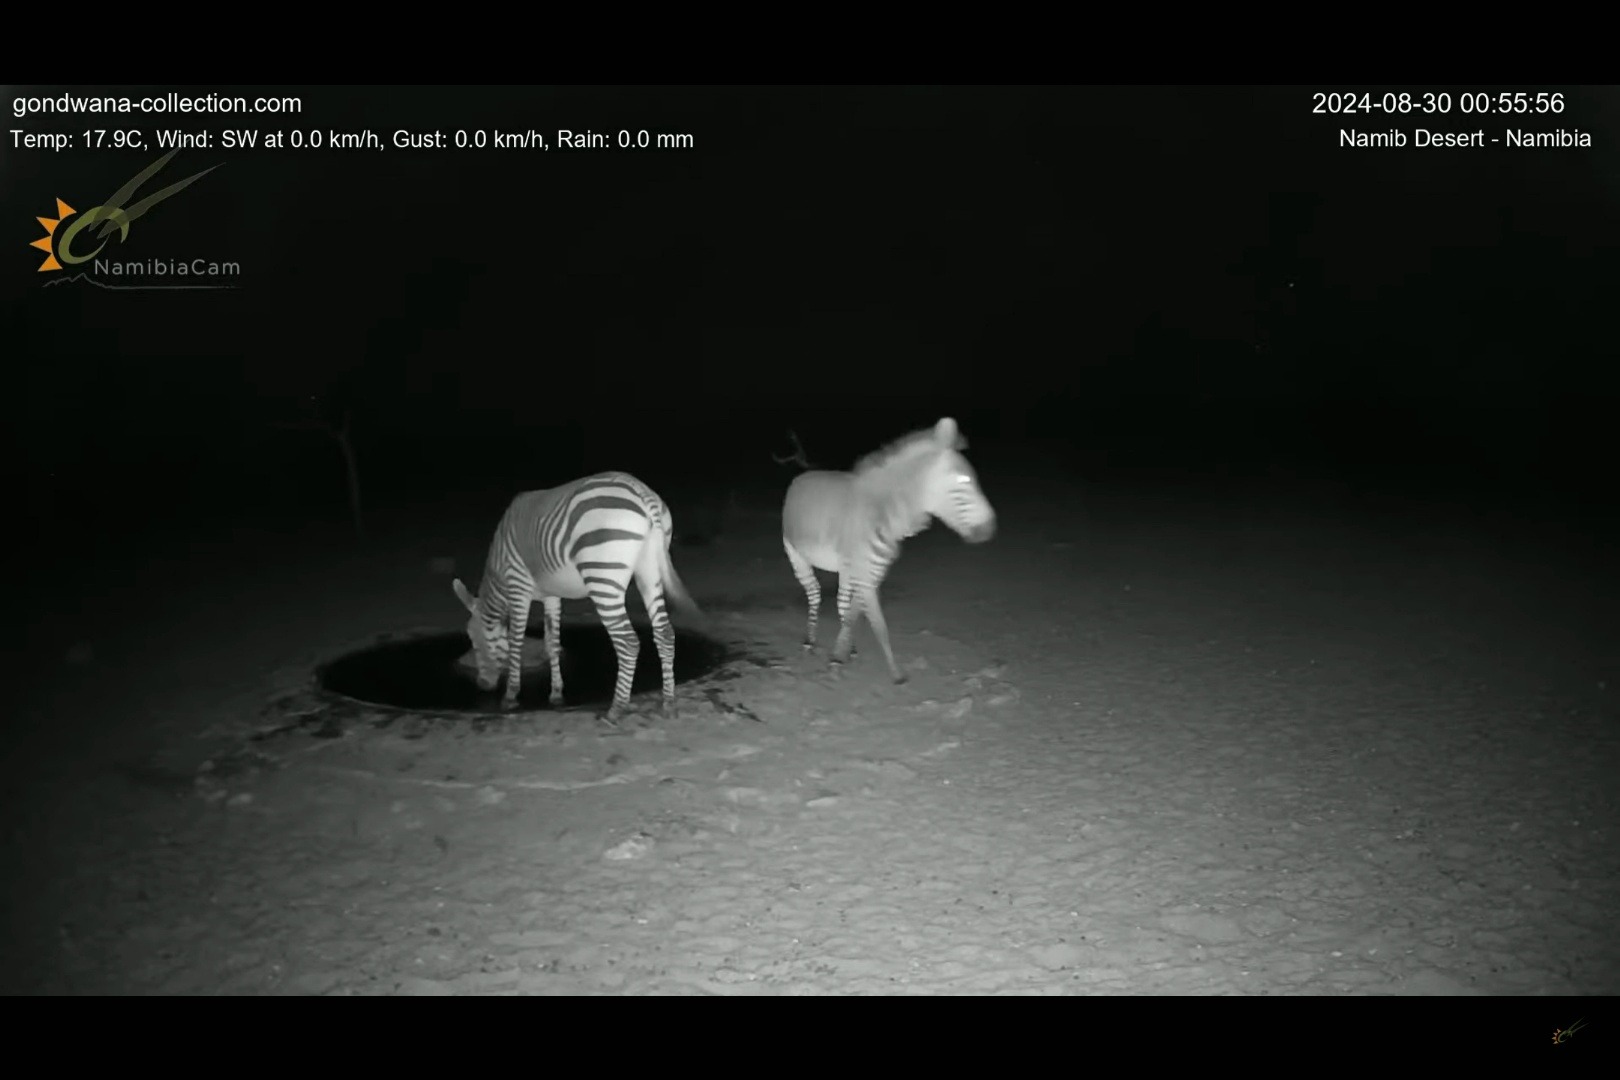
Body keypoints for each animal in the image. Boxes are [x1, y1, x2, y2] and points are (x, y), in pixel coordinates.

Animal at [450, 476, 696, 722]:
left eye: (473, 637)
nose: (483, 685)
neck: (499, 574)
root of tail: (642, 491)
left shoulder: (518, 587)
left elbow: (515, 643)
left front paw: (510, 696)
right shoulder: (551, 595)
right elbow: (552, 644)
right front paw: (556, 693)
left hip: (603, 577)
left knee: (628, 642)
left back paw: (616, 709)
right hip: (649, 571)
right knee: (665, 634)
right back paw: (668, 703)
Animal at [787, 417, 997, 683]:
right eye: (963, 482)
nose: (990, 530)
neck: (883, 512)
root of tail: (802, 476)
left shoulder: (872, 573)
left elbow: (854, 615)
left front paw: (840, 655)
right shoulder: (866, 576)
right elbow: (879, 624)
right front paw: (896, 673)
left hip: (845, 568)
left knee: (841, 602)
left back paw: (848, 648)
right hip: (796, 555)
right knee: (814, 593)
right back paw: (810, 642)